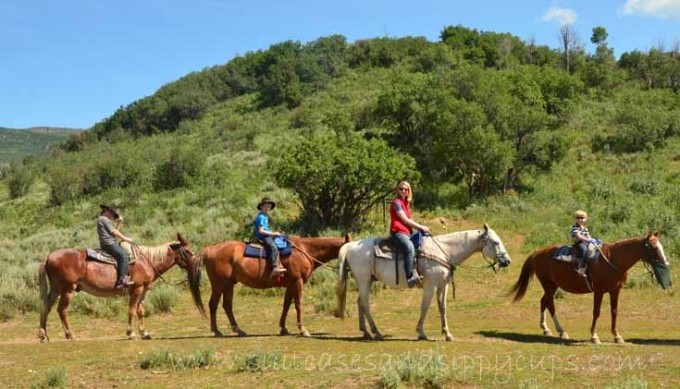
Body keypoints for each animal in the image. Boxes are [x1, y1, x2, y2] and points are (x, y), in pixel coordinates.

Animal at [38, 233, 195, 340]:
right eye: (187, 251)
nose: (195, 264)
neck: (147, 261)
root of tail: (49, 256)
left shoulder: (143, 291)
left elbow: (141, 311)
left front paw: (144, 333)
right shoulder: (136, 289)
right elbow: (132, 311)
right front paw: (131, 333)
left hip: (56, 289)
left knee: (46, 308)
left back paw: (43, 335)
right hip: (67, 289)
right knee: (62, 310)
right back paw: (70, 334)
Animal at [189, 233, 354, 336]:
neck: (305, 250)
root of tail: (210, 249)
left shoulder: (291, 284)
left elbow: (286, 305)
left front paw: (283, 328)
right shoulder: (298, 282)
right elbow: (298, 305)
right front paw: (303, 330)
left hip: (229, 284)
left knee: (227, 305)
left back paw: (238, 330)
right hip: (219, 284)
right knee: (213, 304)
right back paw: (216, 331)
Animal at [334, 224, 510, 340]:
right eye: (495, 242)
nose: (507, 261)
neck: (444, 251)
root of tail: (350, 246)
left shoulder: (443, 285)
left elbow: (442, 308)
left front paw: (447, 334)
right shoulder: (430, 285)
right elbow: (425, 307)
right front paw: (421, 332)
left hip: (367, 280)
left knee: (360, 302)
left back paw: (365, 332)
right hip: (364, 280)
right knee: (365, 303)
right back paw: (376, 332)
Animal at [510, 230, 668, 342]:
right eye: (653, 247)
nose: (665, 263)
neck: (613, 259)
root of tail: (537, 253)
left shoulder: (615, 291)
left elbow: (614, 312)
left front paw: (617, 336)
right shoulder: (598, 291)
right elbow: (596, 312)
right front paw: (594, 336)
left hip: (552, 286)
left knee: (543, 301)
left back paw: (546, 329)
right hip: (548, 285)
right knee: (550, 304)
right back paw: (562, 331)